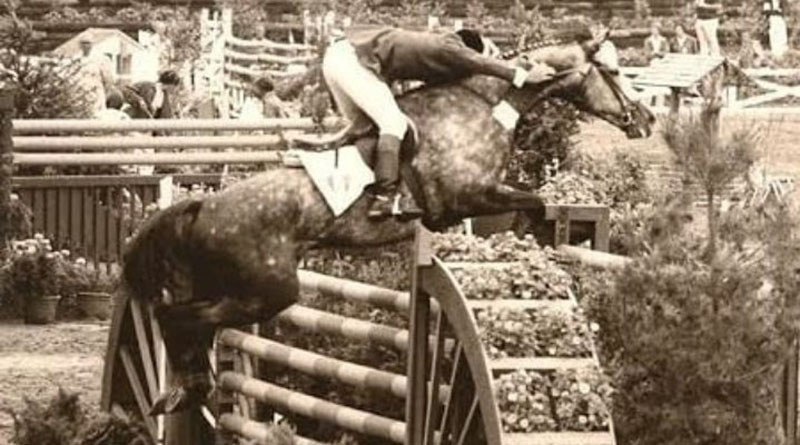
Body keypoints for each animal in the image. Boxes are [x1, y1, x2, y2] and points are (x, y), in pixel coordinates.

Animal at [122, 31, 652, 412]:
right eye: (614, 70)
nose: (645, 120)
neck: (485, 104)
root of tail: (200, 207)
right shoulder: (468, 197)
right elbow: (535, 203)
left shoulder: (471, 204)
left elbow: (530, 206)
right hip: (267, 291)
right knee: (179, 318)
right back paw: (190, 388)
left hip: (232, 288)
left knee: (189, 323)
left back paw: (185, 389)